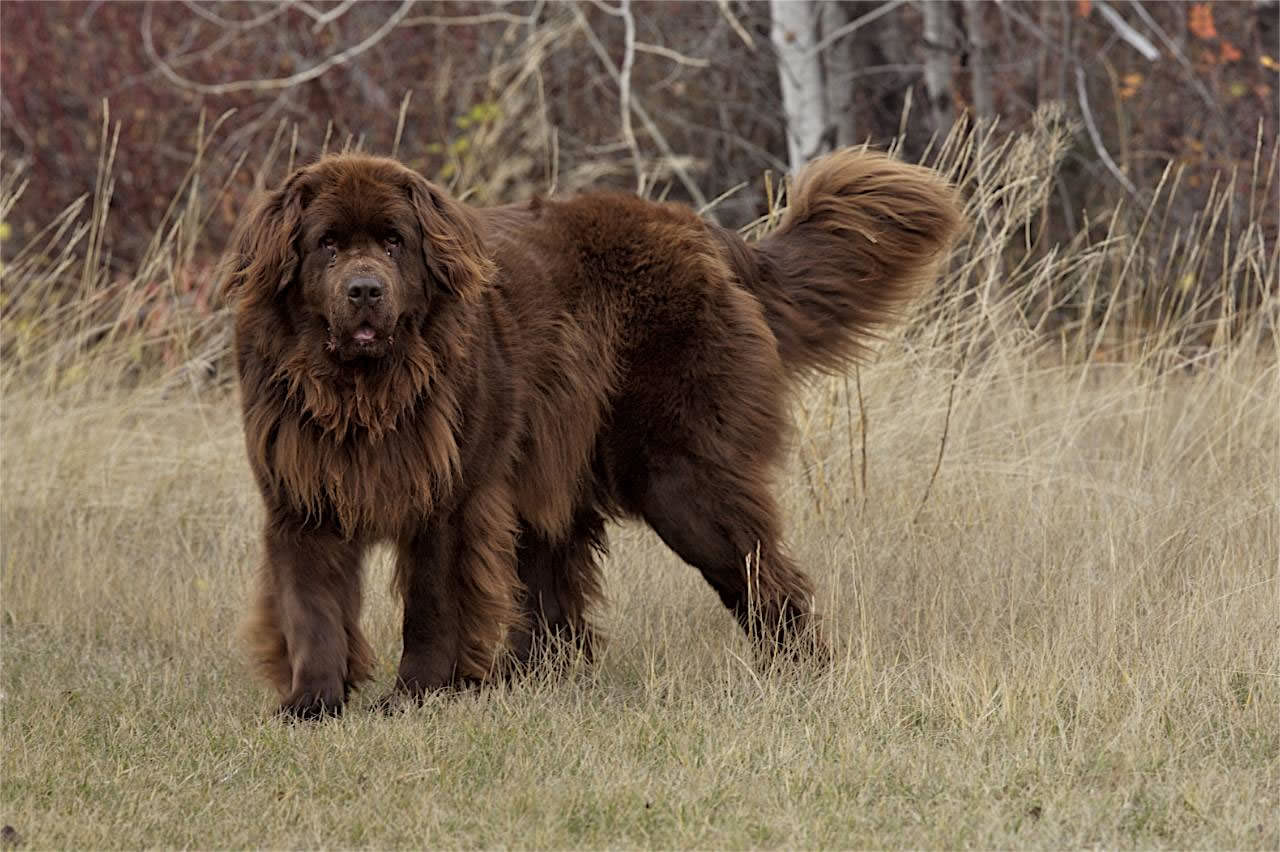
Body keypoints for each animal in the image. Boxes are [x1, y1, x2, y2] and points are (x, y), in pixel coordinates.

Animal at [222, 147, 962, 716]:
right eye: (327, 245)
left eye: (394, 241)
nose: (365, 290)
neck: (363, 391)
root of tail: (705, 235)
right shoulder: (301, 495)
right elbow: (312, 607)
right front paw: (310, 705)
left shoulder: (449, 501)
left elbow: (430, 608)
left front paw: (415, 697)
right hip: (553, 470)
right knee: (552, 585)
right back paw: (522, 681)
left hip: (680, 479)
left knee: (762, 573)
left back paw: (800, 671)